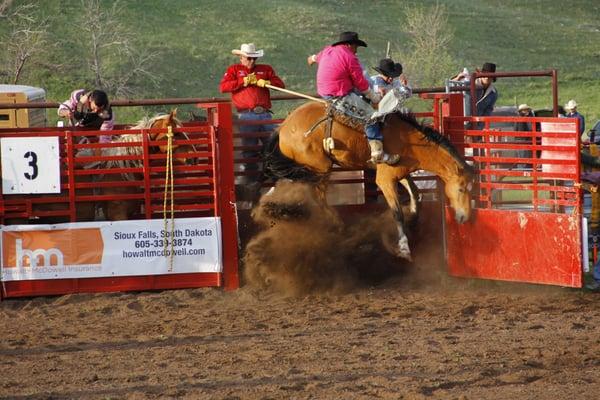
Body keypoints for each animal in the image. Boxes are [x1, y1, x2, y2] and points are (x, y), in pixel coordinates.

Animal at [262, 101, 474, 260]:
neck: (410, 142)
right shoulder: (384, 180)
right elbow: (397, 212)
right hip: (319, 167)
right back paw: (331, 222)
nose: (465, 217)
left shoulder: (398, 173)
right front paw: (404, 247)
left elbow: (415, 193)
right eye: (461, 189)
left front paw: (413, 216)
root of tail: (283, 126)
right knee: (317, 196)